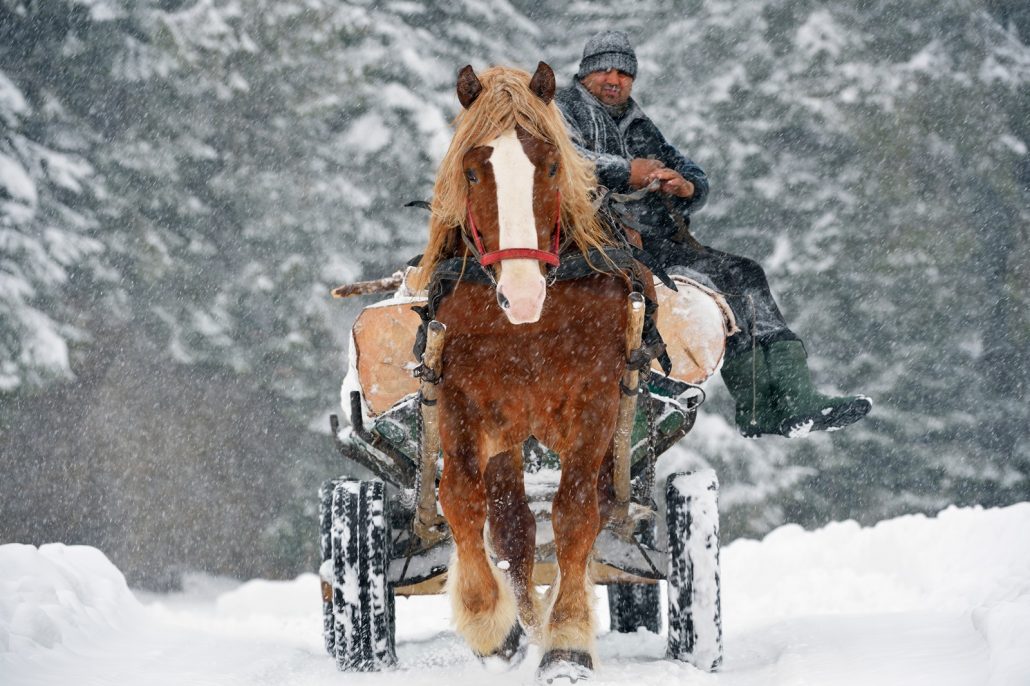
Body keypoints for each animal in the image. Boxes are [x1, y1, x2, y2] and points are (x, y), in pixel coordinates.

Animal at [412, 62, 642, 679]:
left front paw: (566, 641)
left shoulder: (595, 401)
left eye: (553, 163)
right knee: (513, 526)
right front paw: (491, 625)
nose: (522, 292)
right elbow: (463, 503)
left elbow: (575, 514)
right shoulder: (462, 400)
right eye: (473, 170)